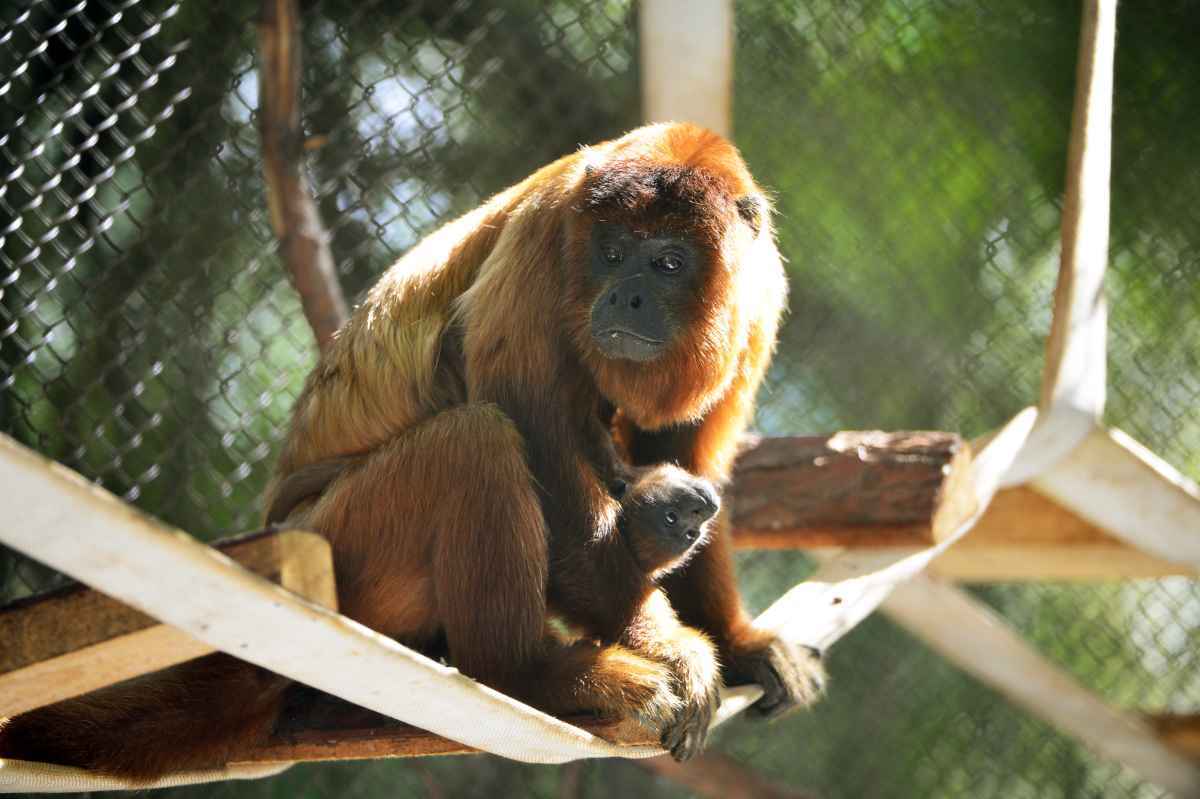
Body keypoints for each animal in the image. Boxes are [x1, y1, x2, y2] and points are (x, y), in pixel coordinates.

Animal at [0, 121, 825, 772]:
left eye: (667, 262)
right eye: (615, 252)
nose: (624, 295)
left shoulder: (760, 297)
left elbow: (699, 464)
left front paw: (736, 639)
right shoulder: (546, 237)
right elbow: (541, 446)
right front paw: (674, 645)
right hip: (343, 540)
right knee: (476, 439)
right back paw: (531, 675)